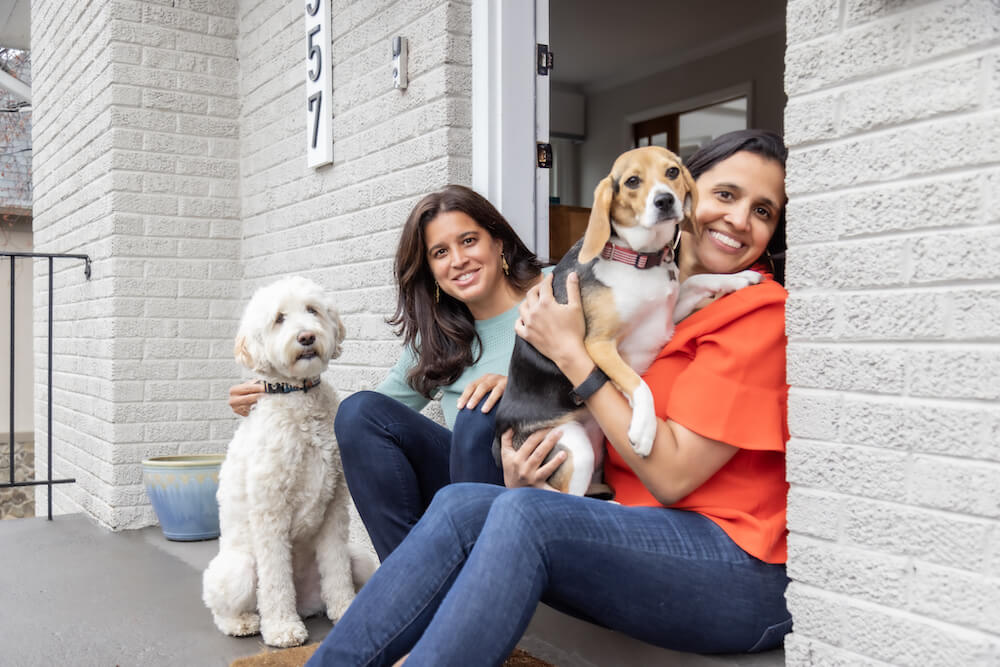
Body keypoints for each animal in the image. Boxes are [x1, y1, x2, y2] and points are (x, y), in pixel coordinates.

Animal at [201, 276, 370, 648]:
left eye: (312, 310)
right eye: (279, 318)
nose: (306, 337)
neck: (299, 396)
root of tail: (305, 603)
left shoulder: (335, 508)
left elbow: (336, 566)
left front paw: (346, 608)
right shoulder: (270, 510)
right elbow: (276, 578)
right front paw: (281, 629)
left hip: (361, 558)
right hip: (237, 571)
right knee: (221, 607)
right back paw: (245, 622)